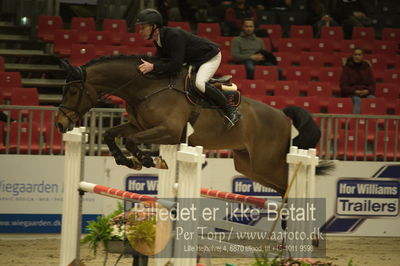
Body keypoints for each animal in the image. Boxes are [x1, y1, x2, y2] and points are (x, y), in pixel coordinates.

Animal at [56, 54, 332, 195]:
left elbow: (132, 140)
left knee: (289, 185)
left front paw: (147, 160)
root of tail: (281, 115)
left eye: (73, 91)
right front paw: (127, 160)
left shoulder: (168, 132)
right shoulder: (139, 126)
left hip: (266, 163)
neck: (146, 88)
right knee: (282, 188)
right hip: (249, 165)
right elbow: (112, 134)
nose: (60, 124)